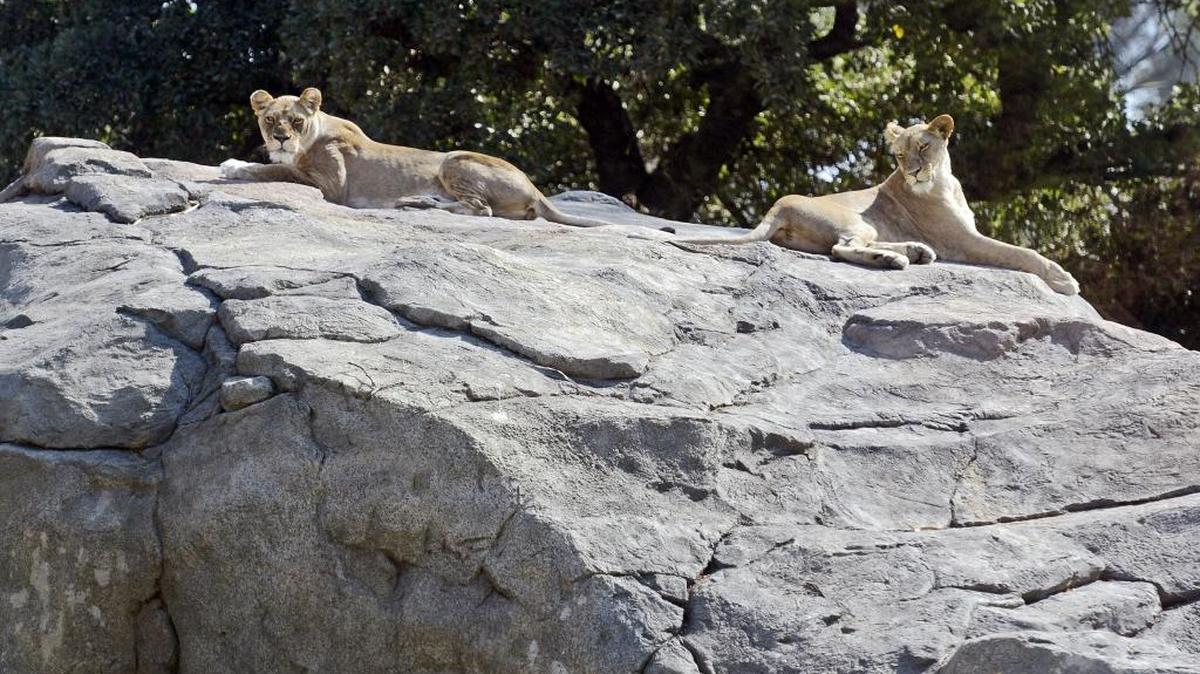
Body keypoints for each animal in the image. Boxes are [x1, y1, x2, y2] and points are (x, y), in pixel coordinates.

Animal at [219, 87, 619, 228]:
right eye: (270, 120)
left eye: (296, 121)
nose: (281, 138)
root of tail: (536, 189)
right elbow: (277, 167)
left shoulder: (331, 185)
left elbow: (273, 172)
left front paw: (234, 167)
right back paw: (417, 202)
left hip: (454, 159)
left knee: (481, 209)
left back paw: (420, 204)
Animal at [671, 115, 1080, 295]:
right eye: (899, 155)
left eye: (923, 147)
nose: (913, 172)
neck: (945, 180)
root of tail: (780, 204)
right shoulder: (963, 241)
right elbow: (1022, 252)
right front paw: (1063, 278)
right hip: (858, 221)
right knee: (841, 249)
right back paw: (896, 259)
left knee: (847, 246)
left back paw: (914, 252)